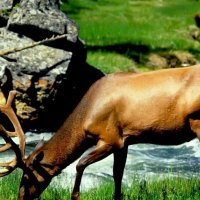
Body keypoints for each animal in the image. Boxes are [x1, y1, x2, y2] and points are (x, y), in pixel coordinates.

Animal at [0, 65, 200, 199]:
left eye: (28, 175)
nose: (20, 197)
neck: (85, 118)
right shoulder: (124, 141)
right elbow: (117, 174)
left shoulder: (110, 138)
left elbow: (80, 164)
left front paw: (76, 196)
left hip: (197, 122)